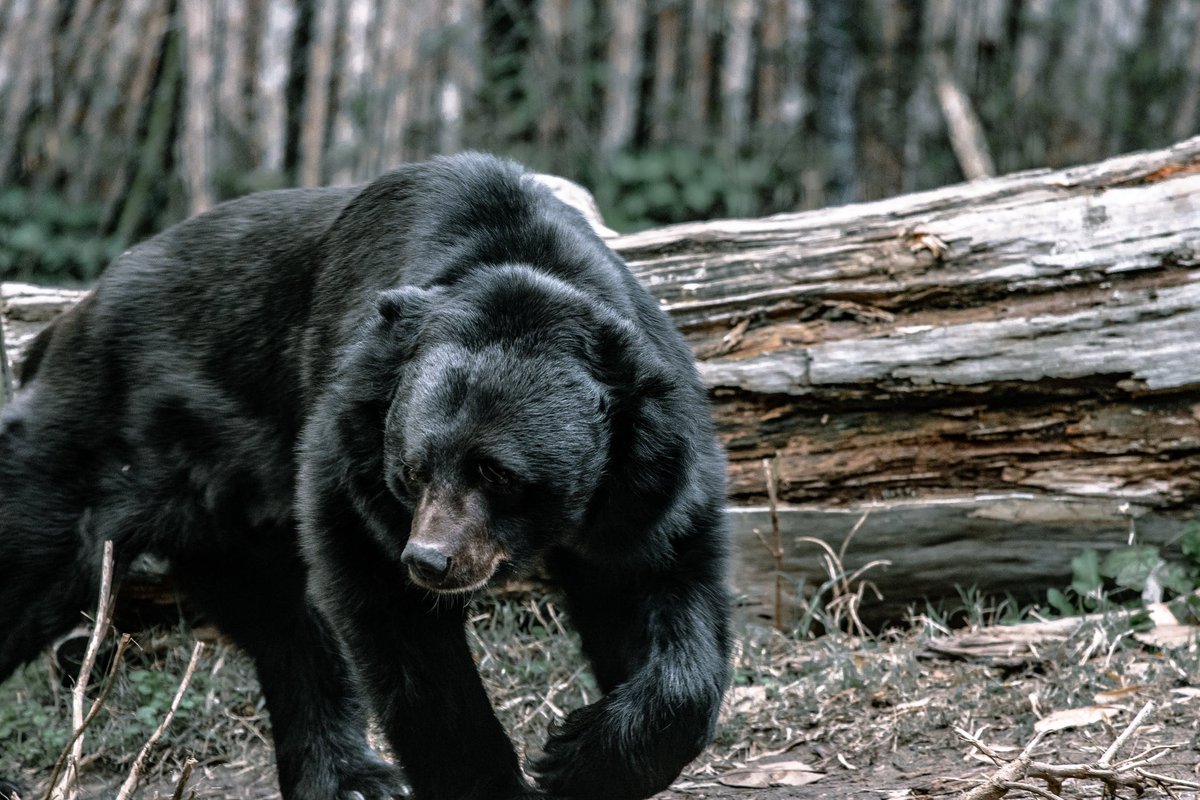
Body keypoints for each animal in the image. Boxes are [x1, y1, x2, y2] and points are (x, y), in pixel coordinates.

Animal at [0, 153, 732, 800]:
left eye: (496, 473)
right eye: (412, 470)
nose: (431, 560)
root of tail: (65, 323)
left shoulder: (646, 476)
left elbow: (661, 588)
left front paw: (581, 755)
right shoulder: (351, 452)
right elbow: (398, 627)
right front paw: (500, 782)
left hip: (226, 514)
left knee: (284, 624)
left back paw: (349, 777)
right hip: (94, 447)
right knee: (33, 558)